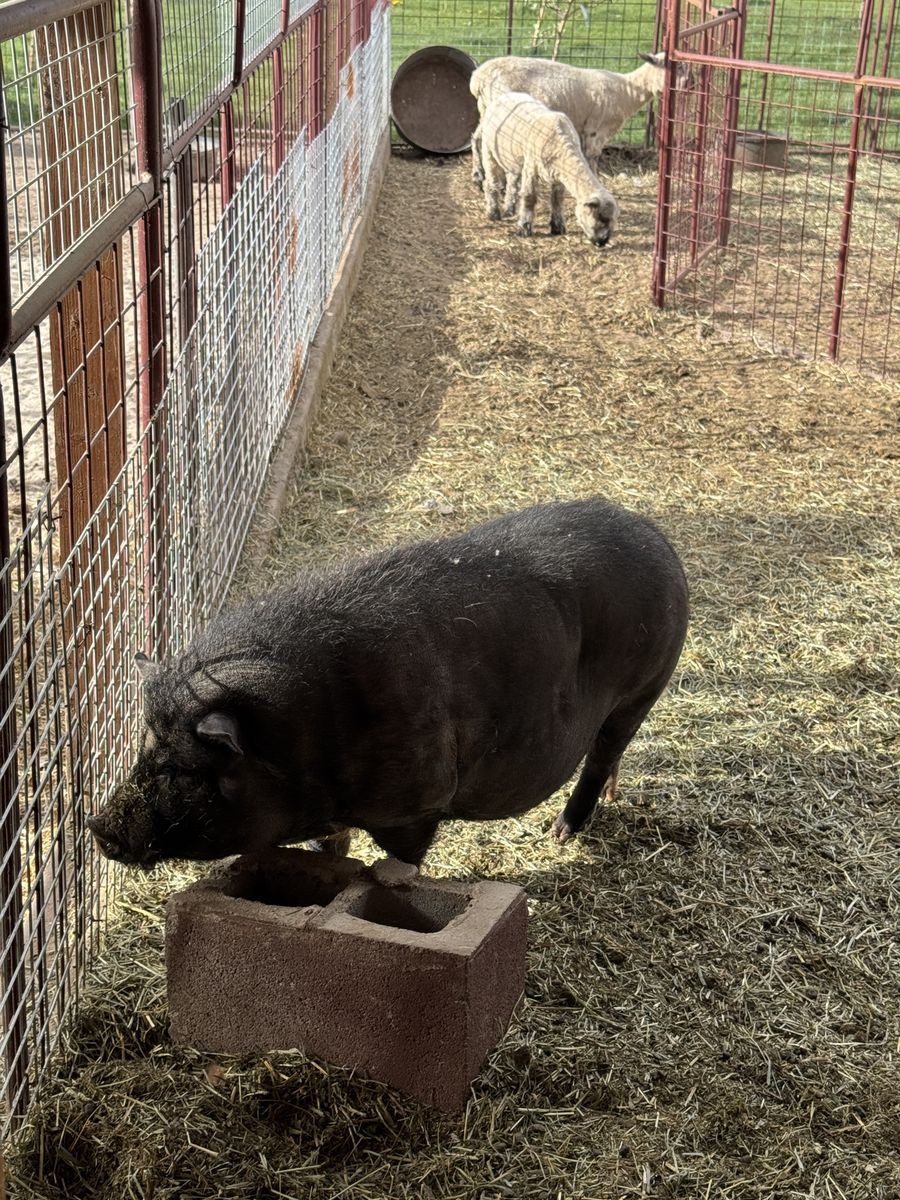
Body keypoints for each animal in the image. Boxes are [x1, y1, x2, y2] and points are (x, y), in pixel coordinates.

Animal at [88, 498, 689, 868]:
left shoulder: (419, 803)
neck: (312, 733)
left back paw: (561, 832)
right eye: (143, 749)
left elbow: (399, 861)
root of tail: (659, 541)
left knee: (603, 752)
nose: (96, 825)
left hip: (644, 687)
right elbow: (328, 846)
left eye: (188, 770)